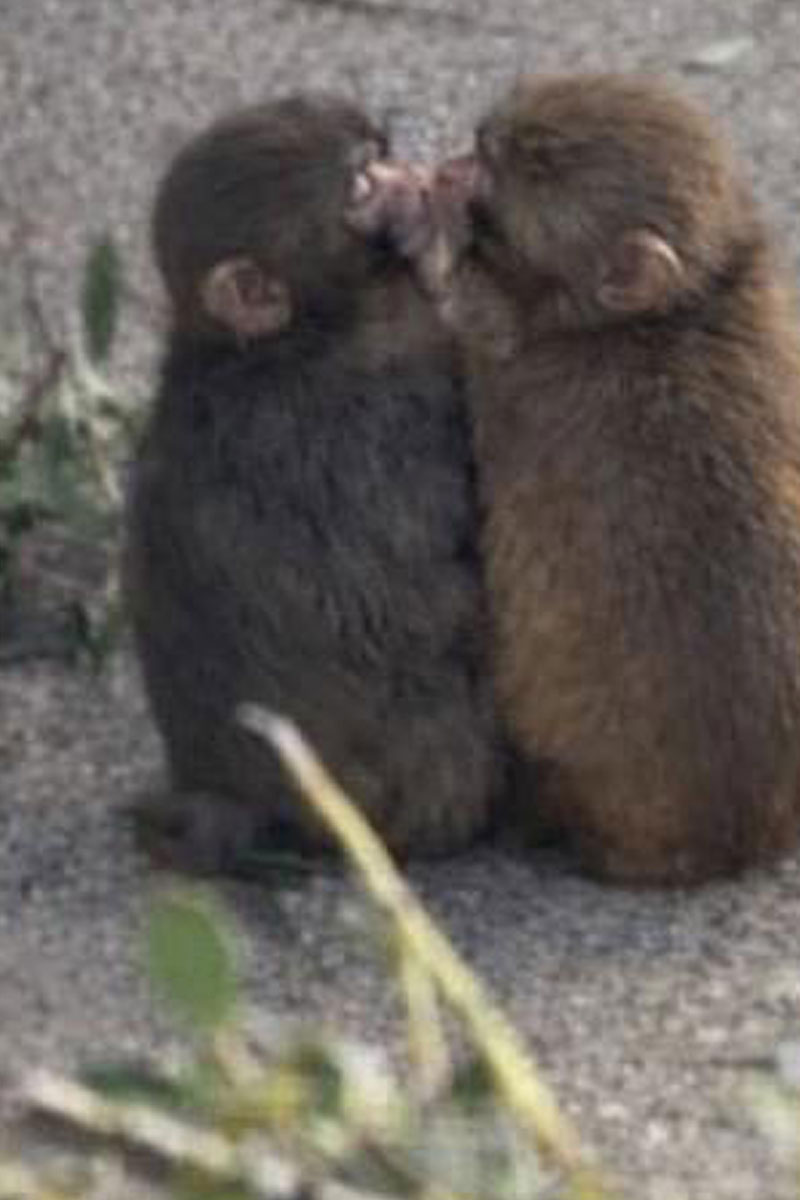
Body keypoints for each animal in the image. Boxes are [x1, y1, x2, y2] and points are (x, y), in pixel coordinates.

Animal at [124, 93, 501, 874]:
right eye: (361, 182)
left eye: (381, 154)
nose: (421, 181)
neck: (272, 346)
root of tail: (234, 800)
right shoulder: (381, 404)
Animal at [378, 72, 800, 885]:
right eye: (489, 147)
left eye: (524, 170)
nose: (459, 163)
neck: (677, 311)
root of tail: (728, 840)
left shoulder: (520, 380)